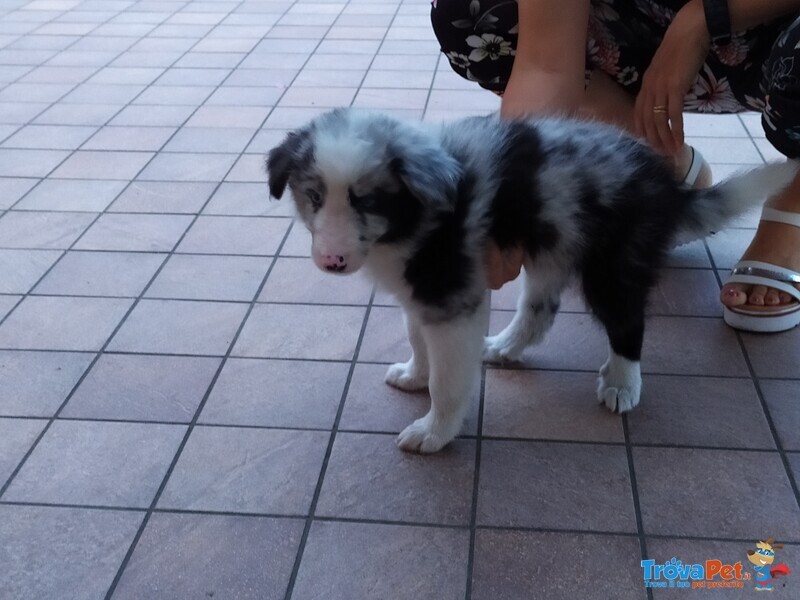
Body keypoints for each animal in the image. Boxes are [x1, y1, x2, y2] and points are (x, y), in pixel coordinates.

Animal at [268, 109, 792, 454]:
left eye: (368, 201)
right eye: (314, 196)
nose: (332, 261)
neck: (411, 216)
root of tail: (665, 185)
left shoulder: (451, 294)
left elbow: (448, 381)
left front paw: (433, 432)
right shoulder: (423, 293)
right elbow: (417, 340)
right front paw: (414, 375)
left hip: (613, 261)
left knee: (627, 324)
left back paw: (622, 383)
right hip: (553, 248)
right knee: (540, 312)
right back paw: (505, 347)